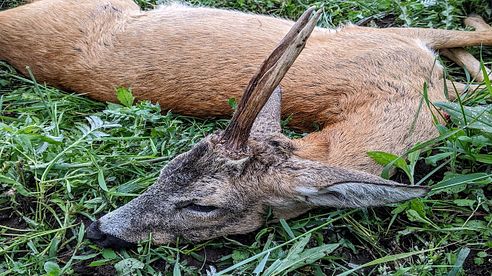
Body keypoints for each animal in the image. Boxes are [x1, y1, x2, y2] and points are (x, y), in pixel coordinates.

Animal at [0, 0, 490, 246]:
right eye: (164, 170)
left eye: (203, 206)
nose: (98, 231)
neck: (401, 95)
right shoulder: (380, 36)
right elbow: (481, 49)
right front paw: (472, 17)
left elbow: (477, 66)